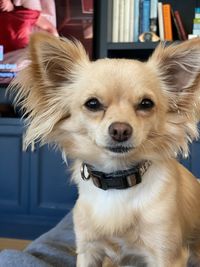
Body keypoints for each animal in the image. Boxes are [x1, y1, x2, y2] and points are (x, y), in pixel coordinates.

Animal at [9, 32, 200, 266]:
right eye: (92, 104)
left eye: (146, 104)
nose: (120, 130)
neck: (117, 180)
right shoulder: (88, 250)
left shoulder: (166, 254)